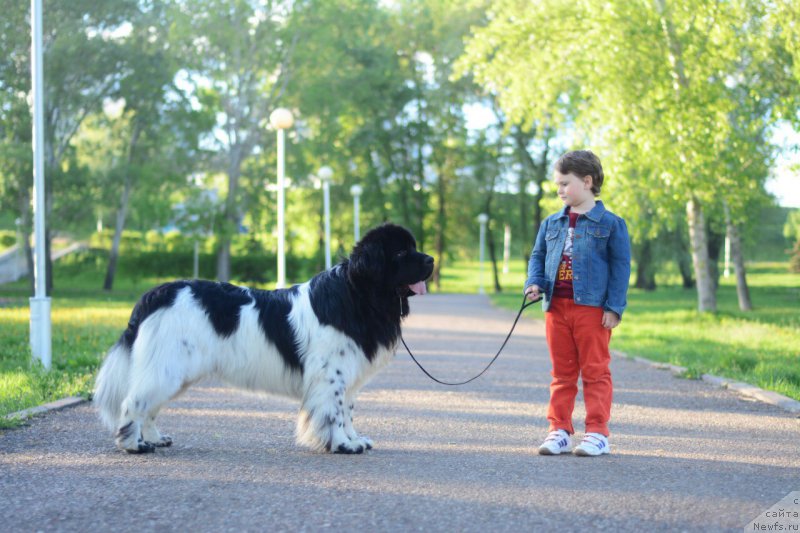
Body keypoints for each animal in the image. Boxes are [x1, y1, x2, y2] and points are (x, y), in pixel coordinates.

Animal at [94, 222, 434, 450]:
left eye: (414, 247)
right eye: (401, 251)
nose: (431, 260)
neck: (357, 292)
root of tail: (157, 293)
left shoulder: (347, 373)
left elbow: (347, 411)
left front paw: (354, 439)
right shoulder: (330, 376)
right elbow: (333, 413)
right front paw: (341, 444)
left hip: (176, 371)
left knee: (150, 407)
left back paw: (155, 438)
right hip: (167, 367)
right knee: (134, 402)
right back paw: (133, 445)